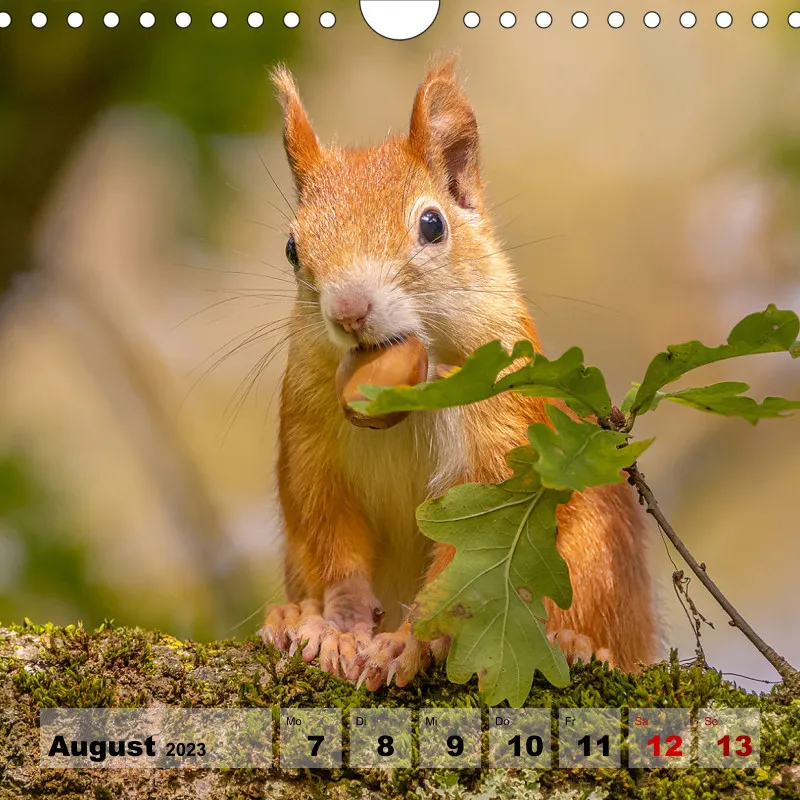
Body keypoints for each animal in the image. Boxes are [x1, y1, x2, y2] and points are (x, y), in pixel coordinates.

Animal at [261, 59, 659, 691]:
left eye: (432, 225)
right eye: (292, 248)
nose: (348, 310)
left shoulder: (504, 434)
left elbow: (467, 558)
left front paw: (405, 642)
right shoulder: (307, 437)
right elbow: (326, 532)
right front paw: (337, 626)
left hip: (600, 560)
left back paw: (577, 646)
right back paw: (290, 617)